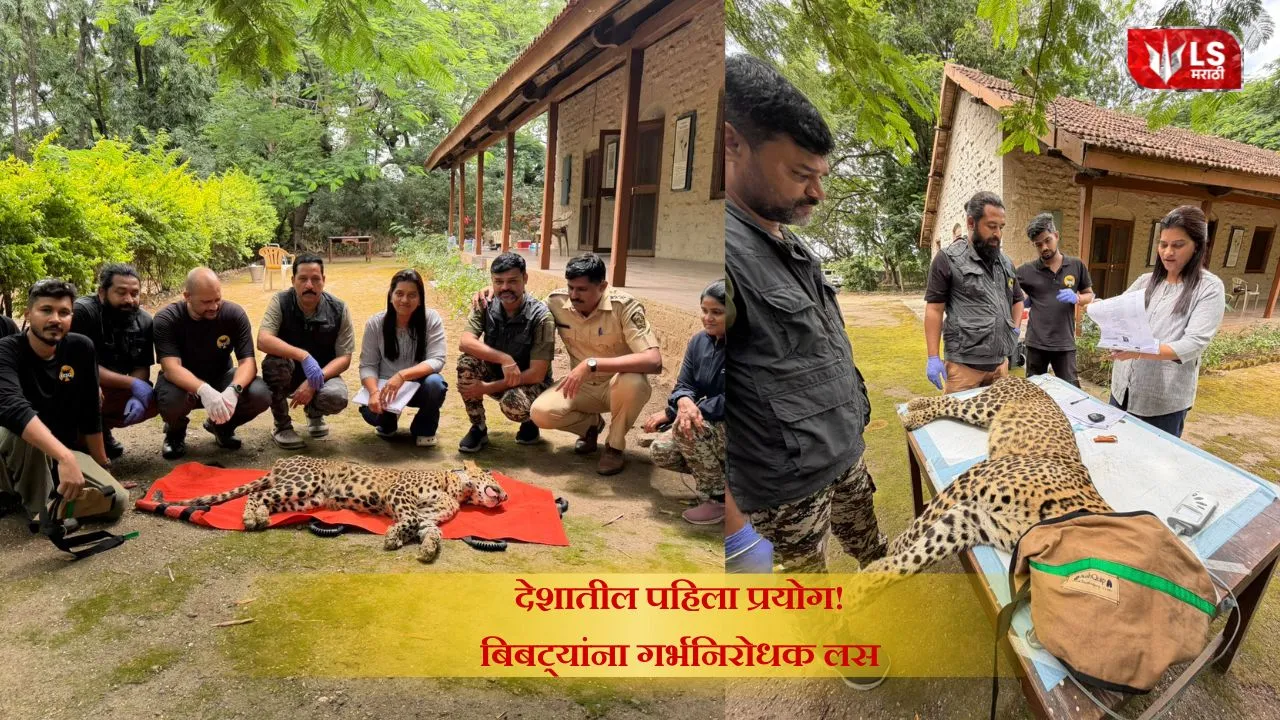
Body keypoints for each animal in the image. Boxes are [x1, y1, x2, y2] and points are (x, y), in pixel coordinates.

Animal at [169, 456, 508, 562]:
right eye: (492, 477)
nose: (505, 495)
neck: (457, 489)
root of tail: (281, 462)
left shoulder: (427, 517)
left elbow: (431, 531)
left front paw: (426, 548)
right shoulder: (400, 494)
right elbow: (409, 519)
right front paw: (394, 537)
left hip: (306, 499)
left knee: (266, 497)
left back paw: (262, 516)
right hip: (304, 483)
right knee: (255, 495)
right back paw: (252, 518)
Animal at [857, 376, 1112, 596]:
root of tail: (1020, 377)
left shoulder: (976, 520)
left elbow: (921, 553)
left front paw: (871, 575)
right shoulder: (974, 478)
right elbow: (920, 526)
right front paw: (884, 552)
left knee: (953, 403)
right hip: (984, 407)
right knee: (953, 402)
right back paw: (913, 412)